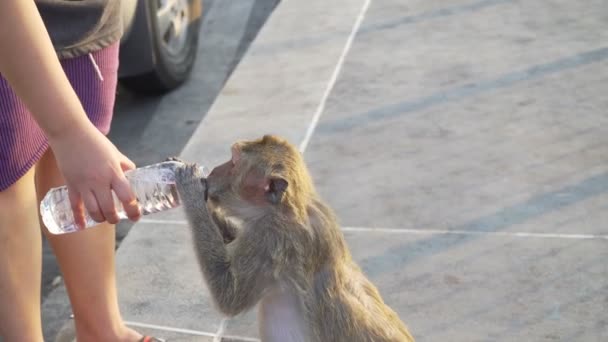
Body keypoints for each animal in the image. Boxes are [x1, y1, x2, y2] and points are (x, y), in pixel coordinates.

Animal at [173, 136, 416, 342]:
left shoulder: (271, 238)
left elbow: (229, 297)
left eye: (233, 162)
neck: (288, 209)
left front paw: (190, 188)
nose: (213, 171)